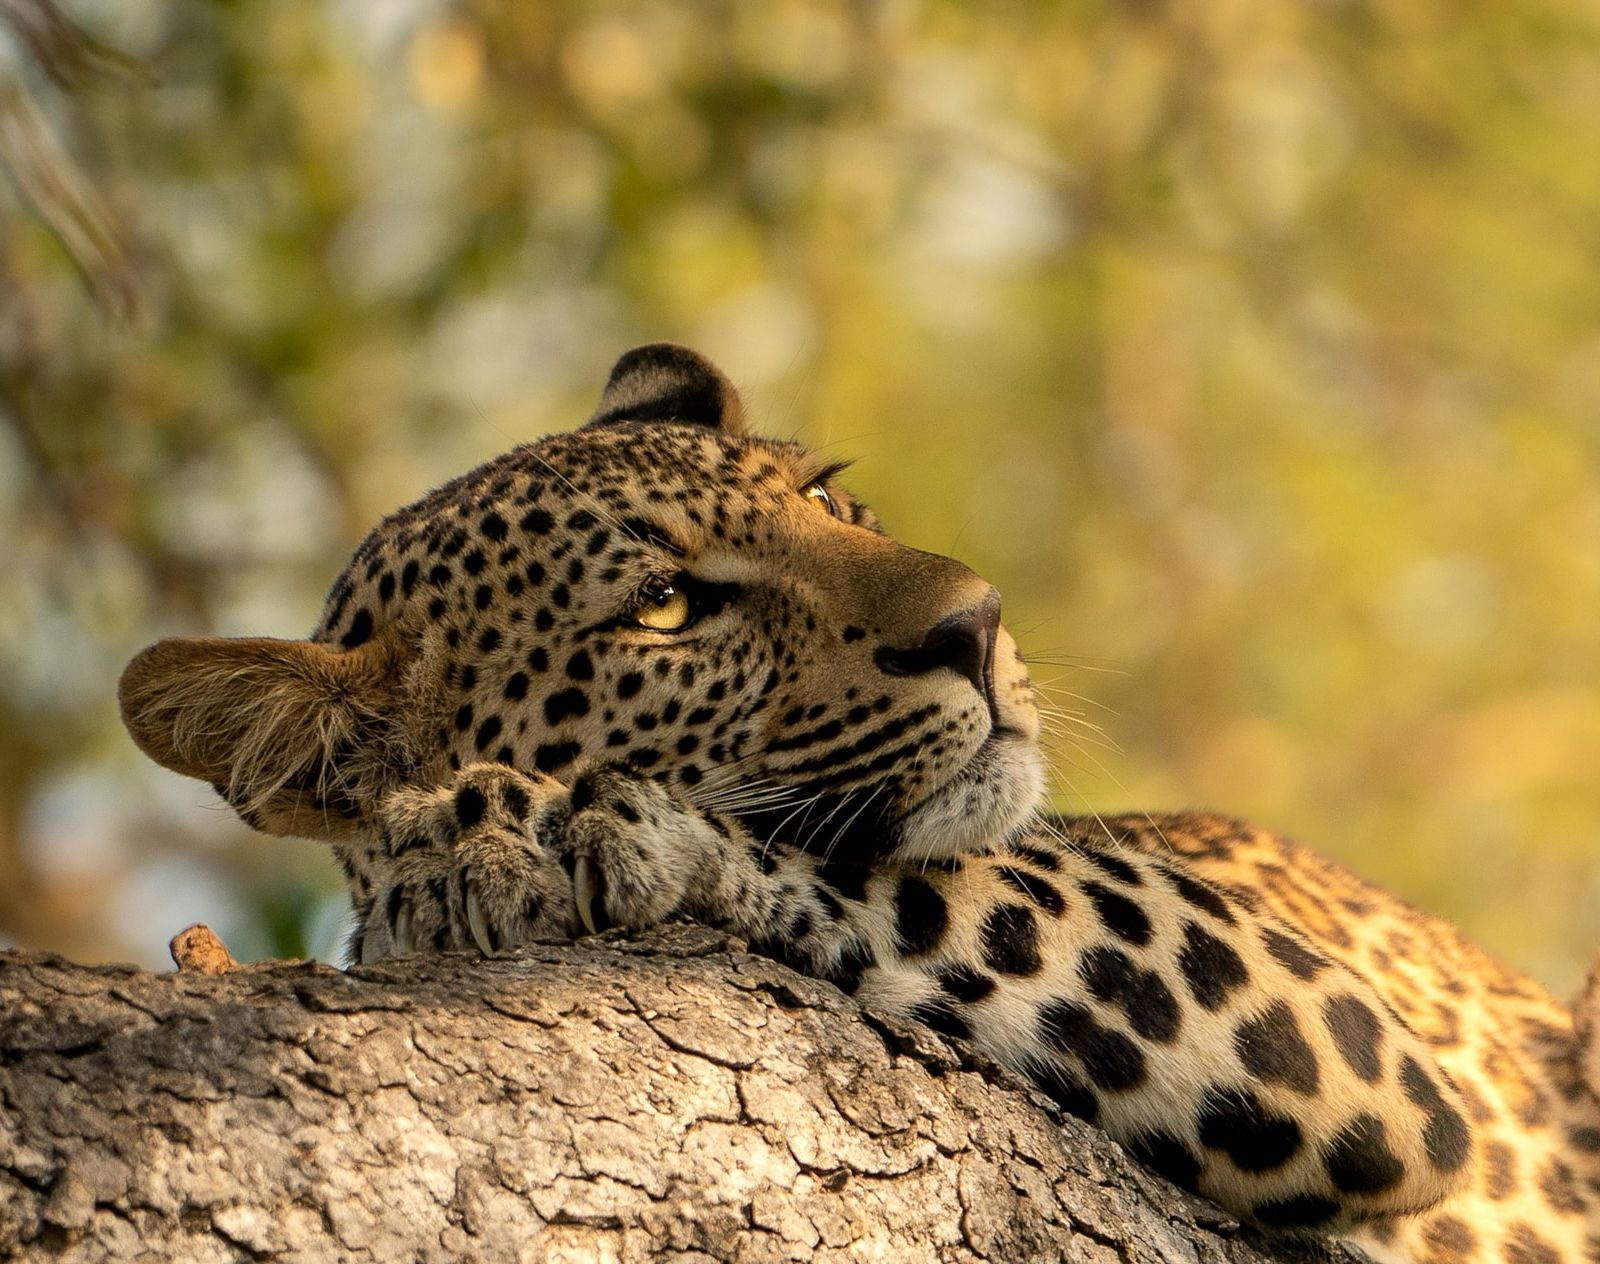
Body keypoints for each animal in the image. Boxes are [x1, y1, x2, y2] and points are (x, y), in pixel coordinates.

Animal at [119, 343, 1600, 1260]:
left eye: (826, 496)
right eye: (664, 606)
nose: (978, 621)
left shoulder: (1331, 1020)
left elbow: (905, 871)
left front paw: (530, 842)